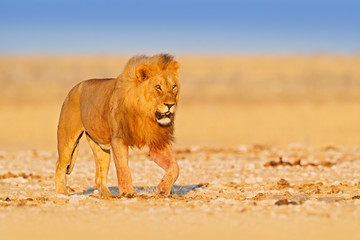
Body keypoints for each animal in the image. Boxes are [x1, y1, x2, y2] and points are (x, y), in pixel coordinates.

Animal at [54, 54, 180, 197]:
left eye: (174, 86)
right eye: (158, 87)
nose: (170, 105)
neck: (145, 114)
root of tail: (73, 88)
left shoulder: (157, 141)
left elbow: (175, 167)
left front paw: (163, 188)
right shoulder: (119, 139)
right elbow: (123, 168)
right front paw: (129, 193)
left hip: (100, 148)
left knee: (99, 176)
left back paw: (108, 196)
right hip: (67, 138)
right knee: (60, 166)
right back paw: (62, 193)